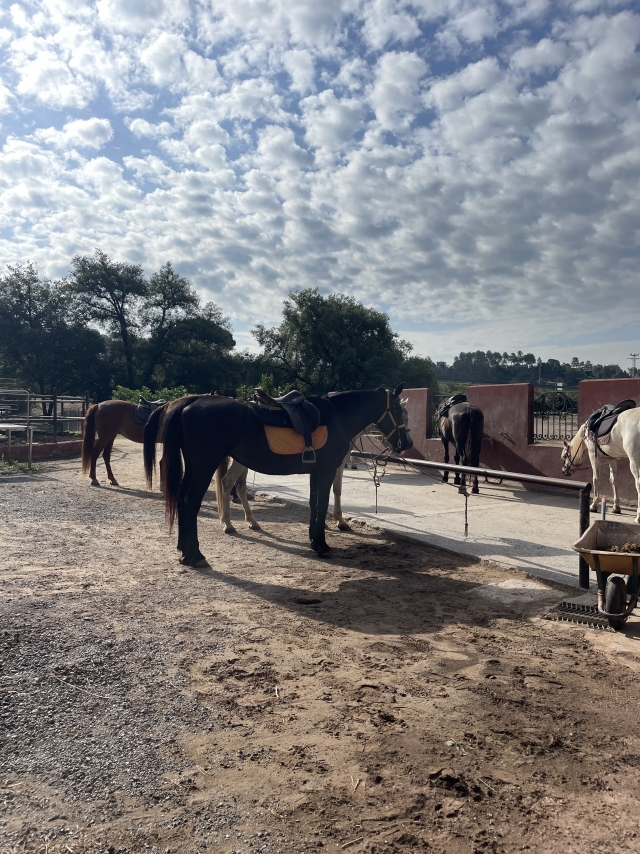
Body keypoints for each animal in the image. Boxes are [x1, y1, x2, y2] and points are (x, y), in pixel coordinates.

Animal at [213, 398, 412, 534]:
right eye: (404, 416)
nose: (408, 443)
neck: (340, 421)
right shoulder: (336, 464)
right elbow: (336, 489)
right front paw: (340, 521)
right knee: (228, 482)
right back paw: (228, 524)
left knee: (239, 485)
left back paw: (251, 521)